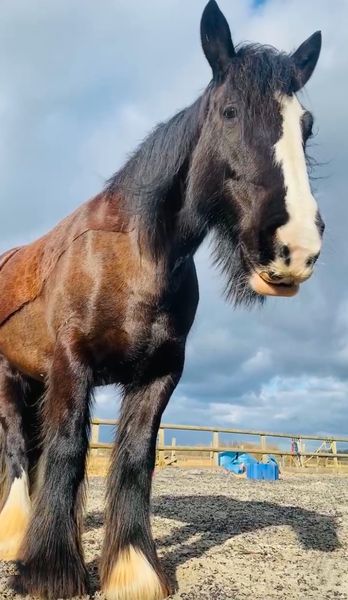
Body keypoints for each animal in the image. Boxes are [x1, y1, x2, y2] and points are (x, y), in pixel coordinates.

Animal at [0, 1, 324, 600]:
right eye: (229, 112)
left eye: (306, 126)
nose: (295, 247)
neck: (135, 255)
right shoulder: (71, 367)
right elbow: (67, 452)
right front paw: (51, 572)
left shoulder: (158, 375)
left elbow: (133, 459)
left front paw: (132, 571)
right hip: (10, 375)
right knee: (16, 446)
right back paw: (14, 538)